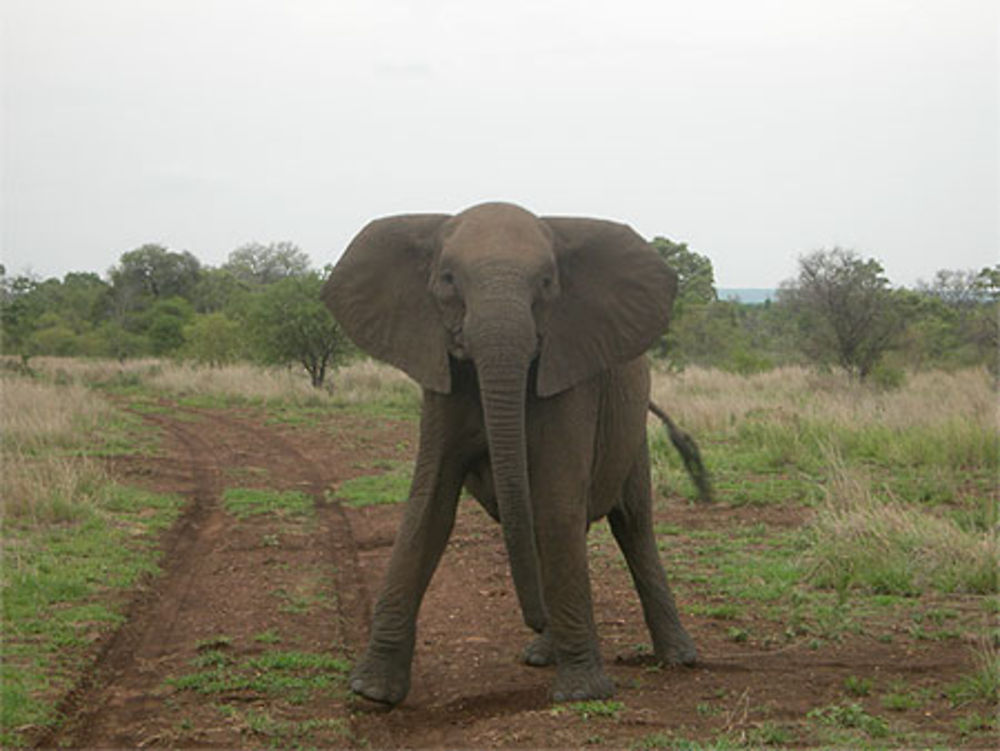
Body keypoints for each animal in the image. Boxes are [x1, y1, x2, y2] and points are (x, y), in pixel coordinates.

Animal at [324, 201, 700, 704]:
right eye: (447, 279)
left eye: (546, 282)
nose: (534, 617)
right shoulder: (441, 379)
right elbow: (429, 504)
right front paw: (371, 692)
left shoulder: (570, 370)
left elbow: (557, 503)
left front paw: (582, 694)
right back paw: (544, 654)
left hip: (631, 433)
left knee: (633, 526)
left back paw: (678, 658)